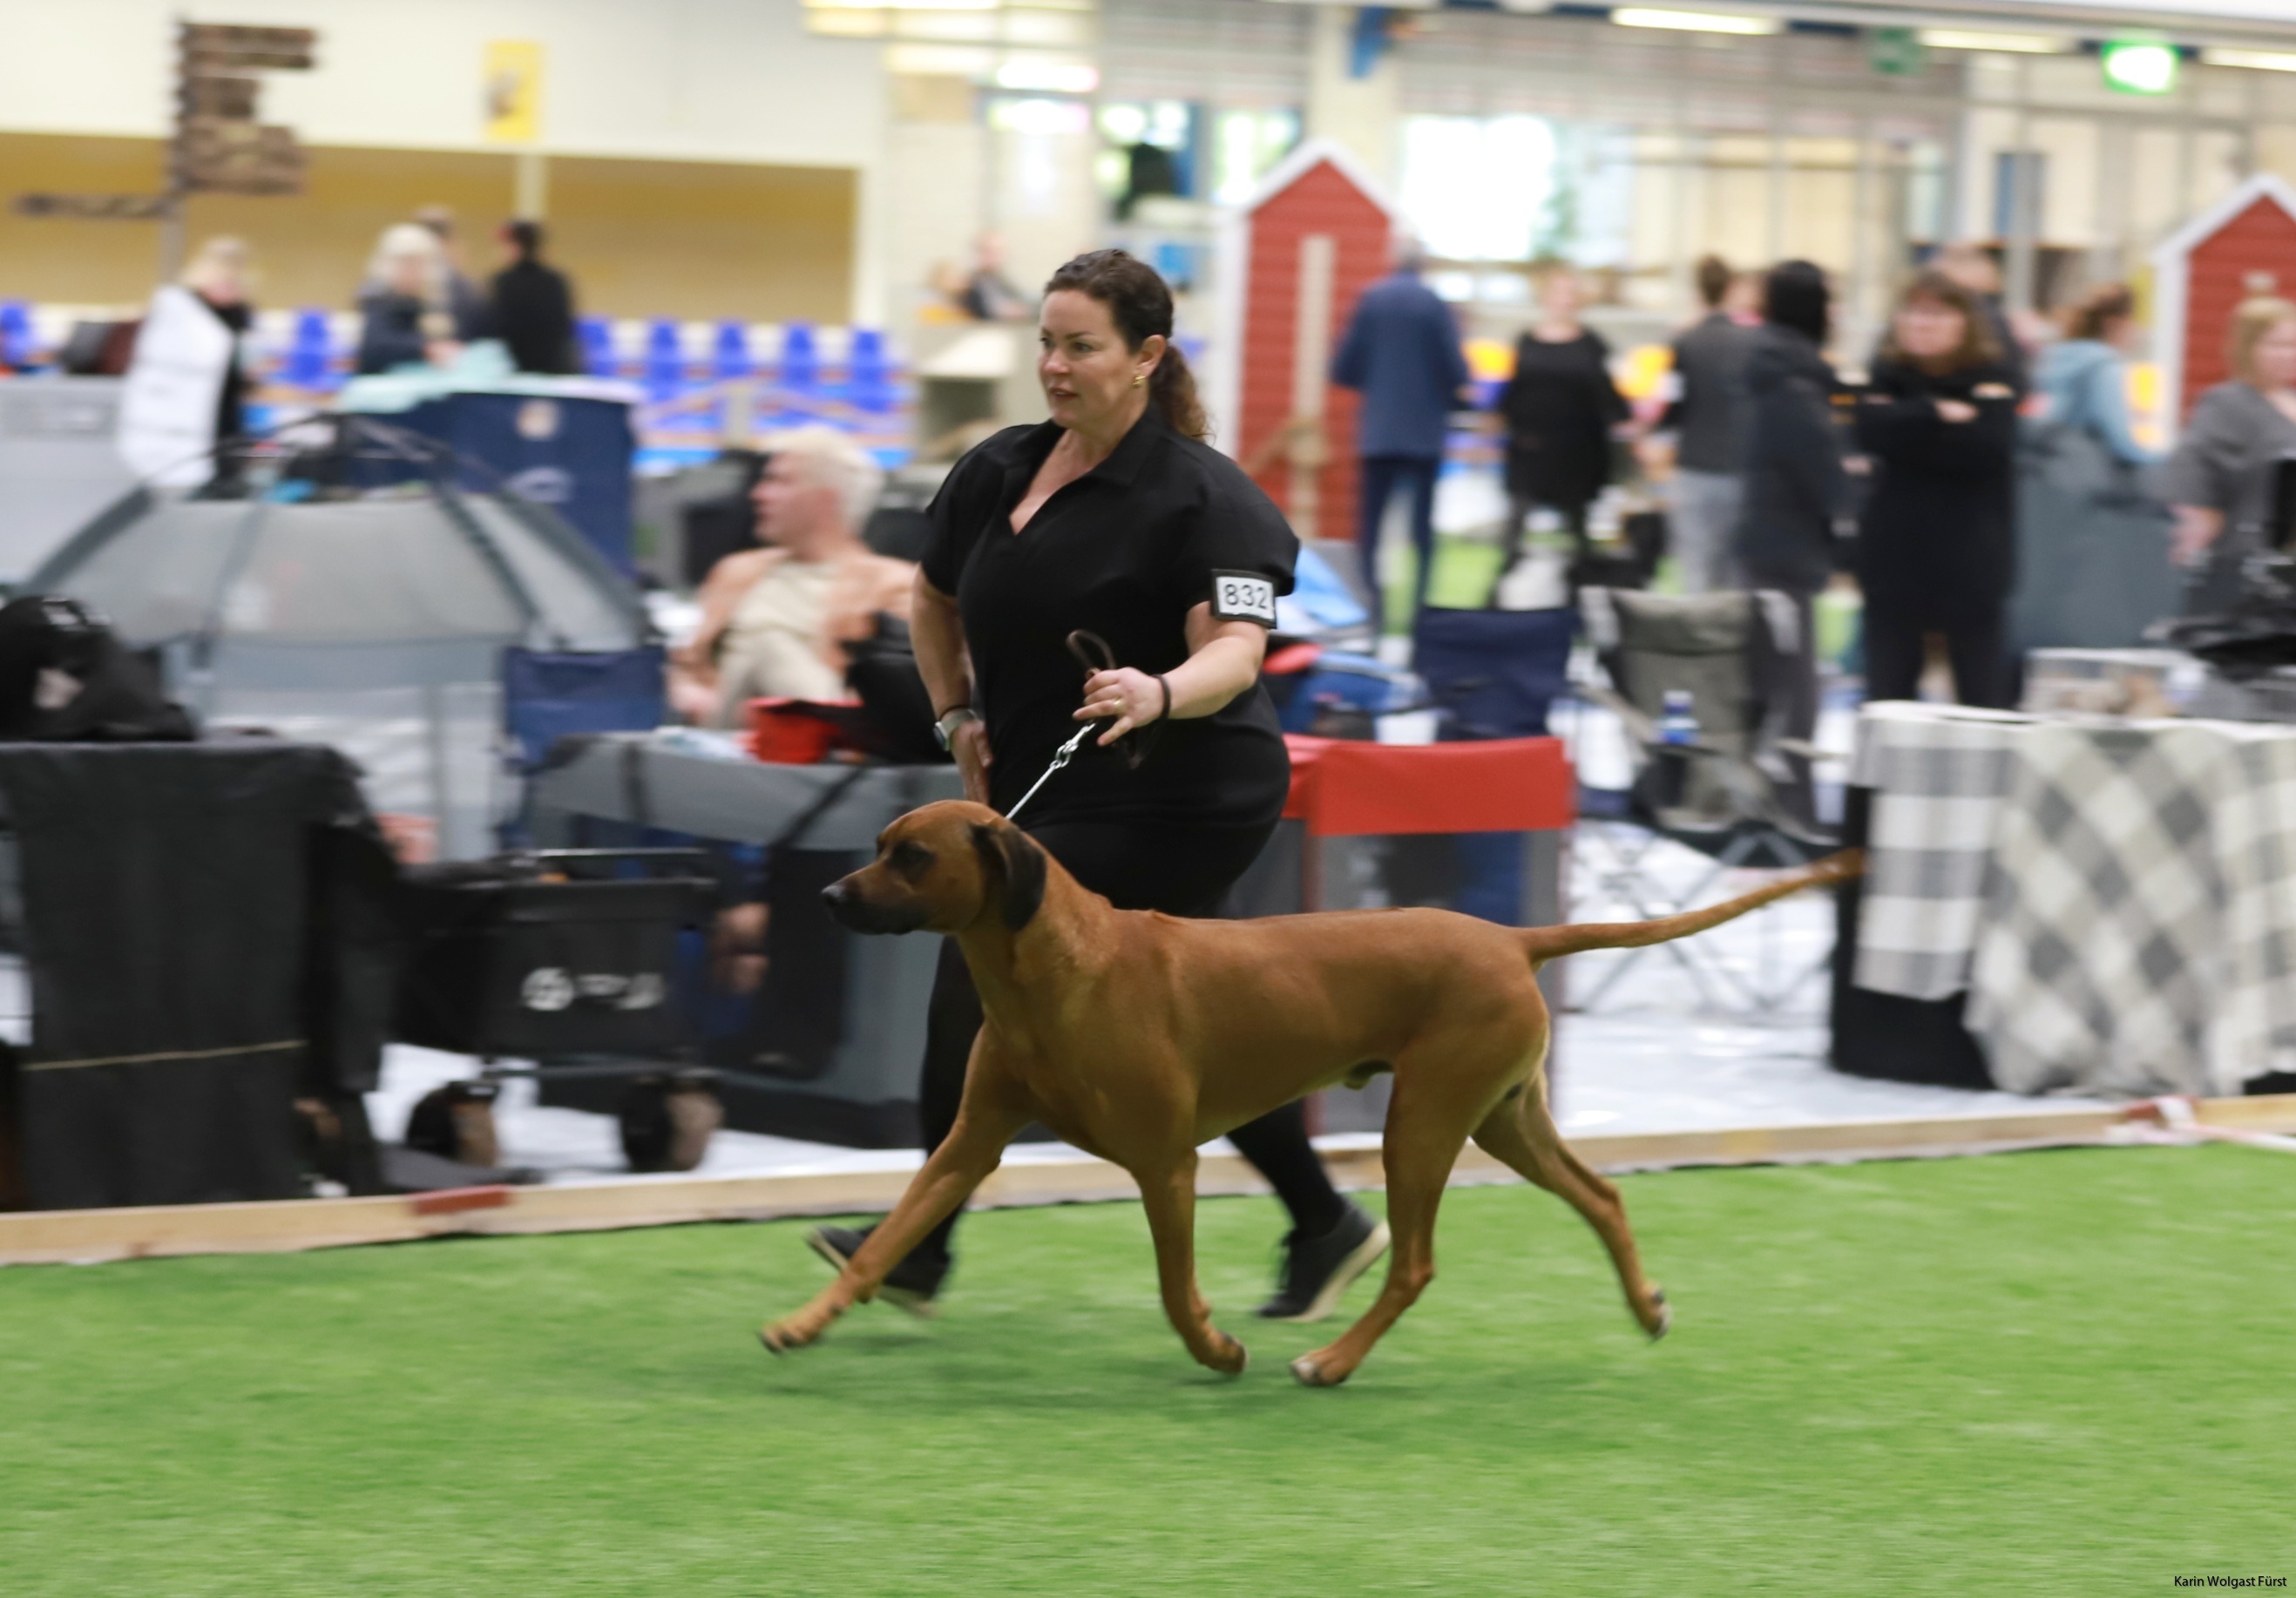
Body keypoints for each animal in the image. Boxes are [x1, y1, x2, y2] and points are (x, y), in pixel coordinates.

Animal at [760, 802, 1862, 1386]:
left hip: (1421, 1125)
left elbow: (1175, 1288)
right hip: (1502, 1119)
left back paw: (1330, 1362)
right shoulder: (968, 1144)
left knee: (1414, 1262)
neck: (1057, 967)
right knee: (1604, 1195)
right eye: (879, 843)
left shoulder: (1166, 1163)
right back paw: (1645, 1307)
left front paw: (1216, 1348)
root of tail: (1513, 937)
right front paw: (805, 1323)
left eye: (912, 856)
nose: (826, 894)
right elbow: (890, 1240)